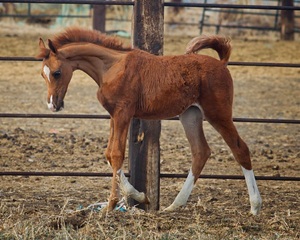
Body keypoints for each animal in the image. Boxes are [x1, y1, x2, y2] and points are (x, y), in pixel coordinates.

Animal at [37, 27, 262, 214]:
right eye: (42, 74)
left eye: (57, 73)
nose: (53, 105)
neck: (111, 67)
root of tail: (222, 63)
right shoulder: (114, 116)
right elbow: (109, 154)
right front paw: (139, 196)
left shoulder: (123, 114)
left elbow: (117, 154)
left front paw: (111, 204)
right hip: (191, 115)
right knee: (201, 151)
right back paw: (175, 205)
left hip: (218, 114)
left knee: (240, 149)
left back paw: (255, 207)